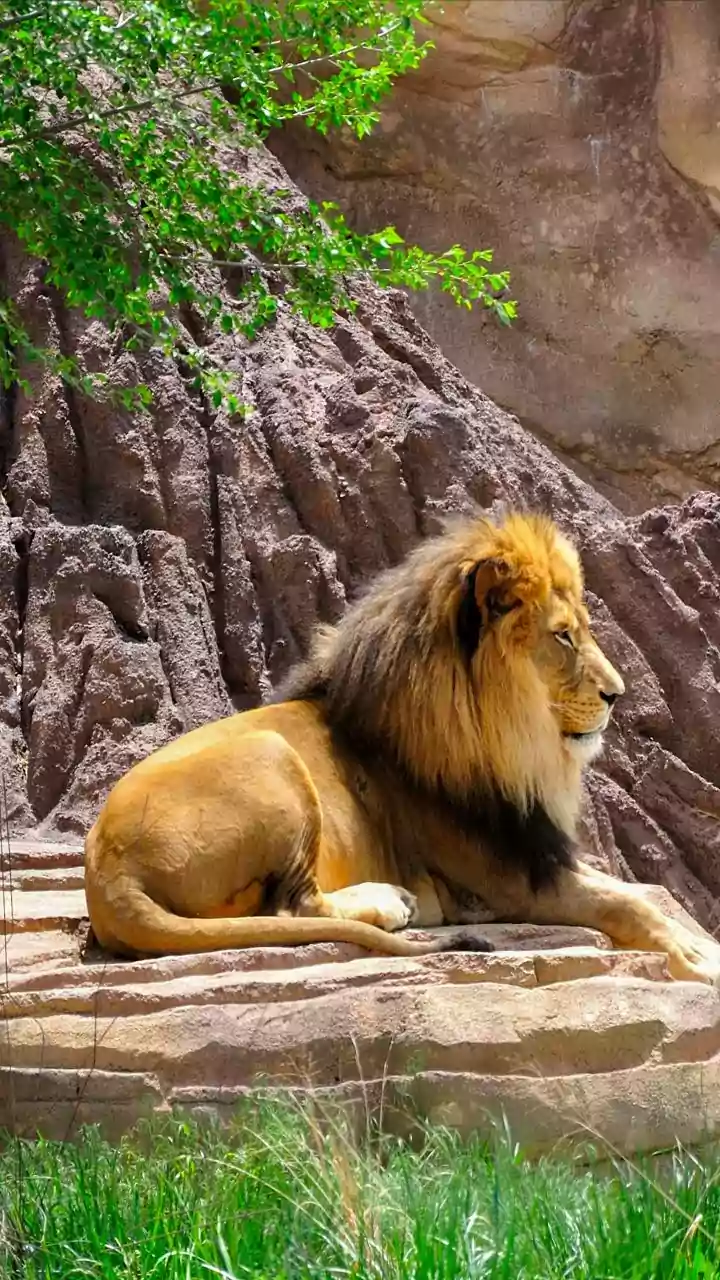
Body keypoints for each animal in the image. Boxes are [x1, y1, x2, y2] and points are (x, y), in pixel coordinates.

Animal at [84, 510, 720, 984]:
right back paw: (392, 902)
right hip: (269, 751)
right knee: (291, 905)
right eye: (563, 636)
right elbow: (630, 903)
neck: (508, 744)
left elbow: (643, 895)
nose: (617, 694)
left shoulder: (534, 850)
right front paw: (696, 962)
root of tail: (108, 873)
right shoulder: (506, 882)